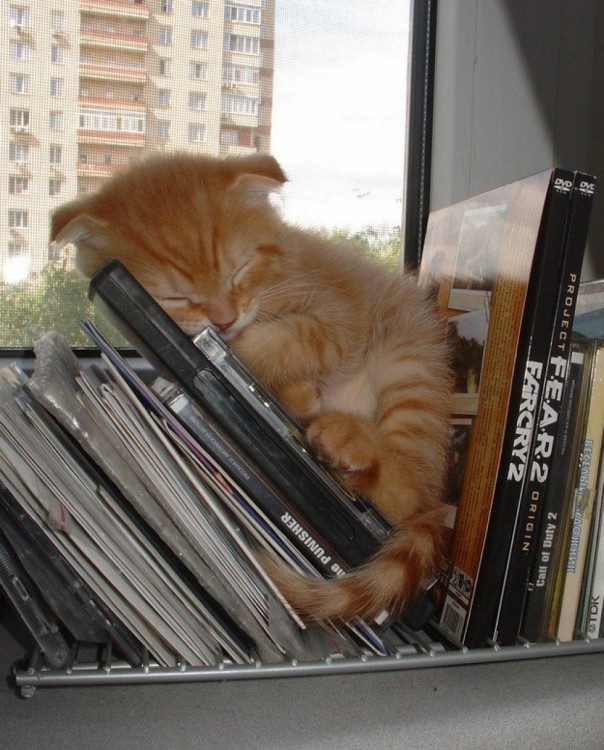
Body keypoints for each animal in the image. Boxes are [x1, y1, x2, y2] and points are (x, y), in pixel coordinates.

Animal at [49, 151, 450, 624]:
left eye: (238, 270)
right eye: (176, 299)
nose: (223, 320)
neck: (274, 274)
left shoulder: (341, 314)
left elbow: (290, 340)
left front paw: (235, 349)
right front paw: (296, 392)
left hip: (410, 365)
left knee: (409, 492)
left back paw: (348, 438)